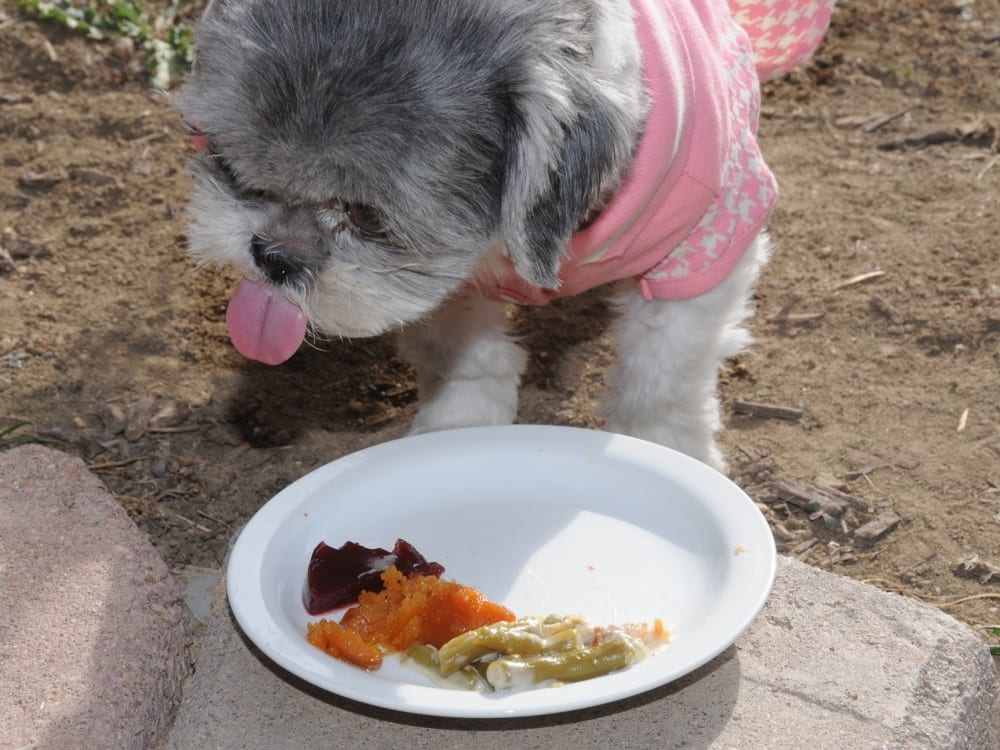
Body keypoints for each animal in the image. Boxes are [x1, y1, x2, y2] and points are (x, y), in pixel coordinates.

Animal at [178, 0, 828, 470]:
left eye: (367, 216)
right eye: (231, 166)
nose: (272, 256)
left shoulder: (701, 251)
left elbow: (663, 375)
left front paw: (663, 449)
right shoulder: (444, 275)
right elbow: (463, 348)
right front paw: (460, 422)